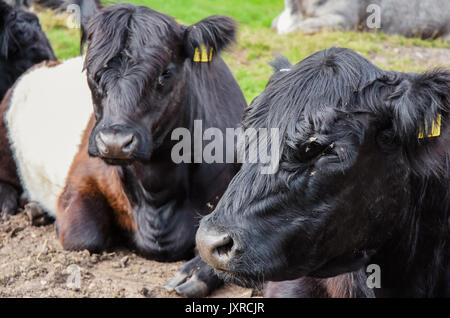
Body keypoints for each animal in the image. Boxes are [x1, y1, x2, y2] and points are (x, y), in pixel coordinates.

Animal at [0, 1, 246, 298]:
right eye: (91, 73)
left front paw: (195, 272)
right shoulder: (79, 182)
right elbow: (83, 236)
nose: (114, 142)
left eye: (165, 73)